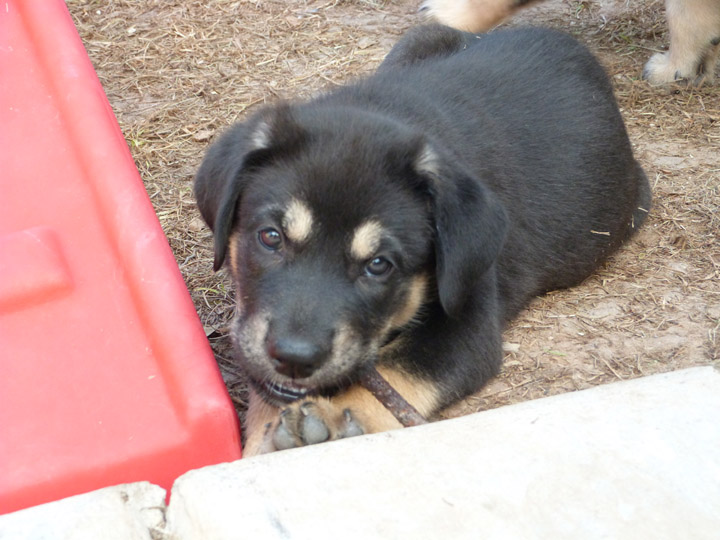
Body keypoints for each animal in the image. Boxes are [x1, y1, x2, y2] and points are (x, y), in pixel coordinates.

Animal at [194, 25, 648, 456]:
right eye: (270, 237)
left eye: (379, 265)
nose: (294, 358)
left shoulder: (467, 323)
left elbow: (393, 374)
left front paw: (329, 419)